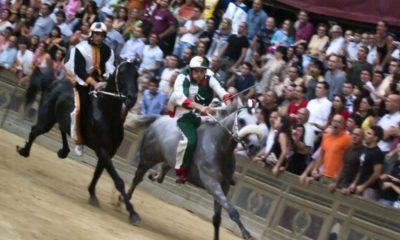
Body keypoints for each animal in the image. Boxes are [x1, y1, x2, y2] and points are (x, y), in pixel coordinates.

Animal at [125, 107, 262, 240]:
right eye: (242, 121)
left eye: (257, 123)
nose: (255, 146)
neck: (218, 146)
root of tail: (159, 119)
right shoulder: (212, 183)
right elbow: (233, 212)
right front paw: (248, 235)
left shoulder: (224, 187)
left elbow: (217, 219)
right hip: (147, 159)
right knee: (137, 179)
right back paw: (128, 205)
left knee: (161, 171)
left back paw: (154, 176)